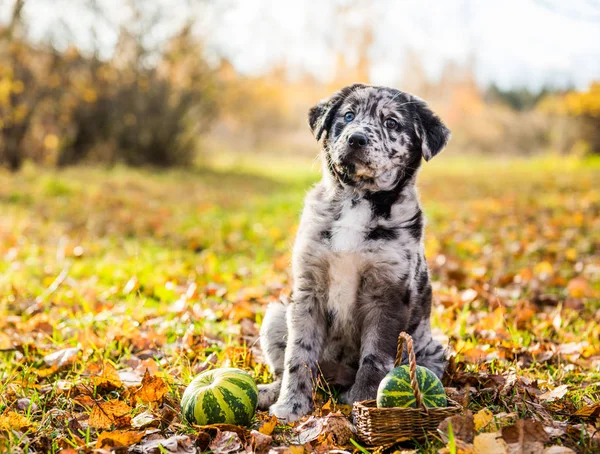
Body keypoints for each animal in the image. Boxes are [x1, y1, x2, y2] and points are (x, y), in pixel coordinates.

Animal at [258, 83, 450, 420]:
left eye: (392, 123)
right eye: (348, 116)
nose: (356, 138)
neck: (356, 201)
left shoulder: (387, 294)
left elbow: (374, 358)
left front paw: (362, 402)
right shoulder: (308, 289)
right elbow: (299, 354)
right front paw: (291, 406)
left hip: (432, 350)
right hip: (277, 313)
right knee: (286, 365)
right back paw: (269, 392)